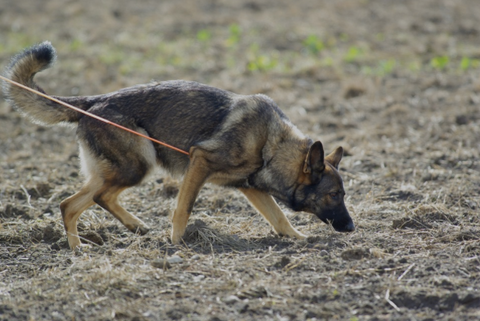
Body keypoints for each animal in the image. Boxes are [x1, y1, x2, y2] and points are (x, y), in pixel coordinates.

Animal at [2, 42, 352, 249]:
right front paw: (176, 241)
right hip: (138, 164)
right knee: (94, 198)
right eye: (334, 195)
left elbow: (279, 217)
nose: (351, 227)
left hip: (118, 170)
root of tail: (93, 102)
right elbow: (183, 208)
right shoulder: (200, 162)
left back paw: (85, 246)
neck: (272, 147)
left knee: (72, 204)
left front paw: (297, 238)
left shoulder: (249, 187)